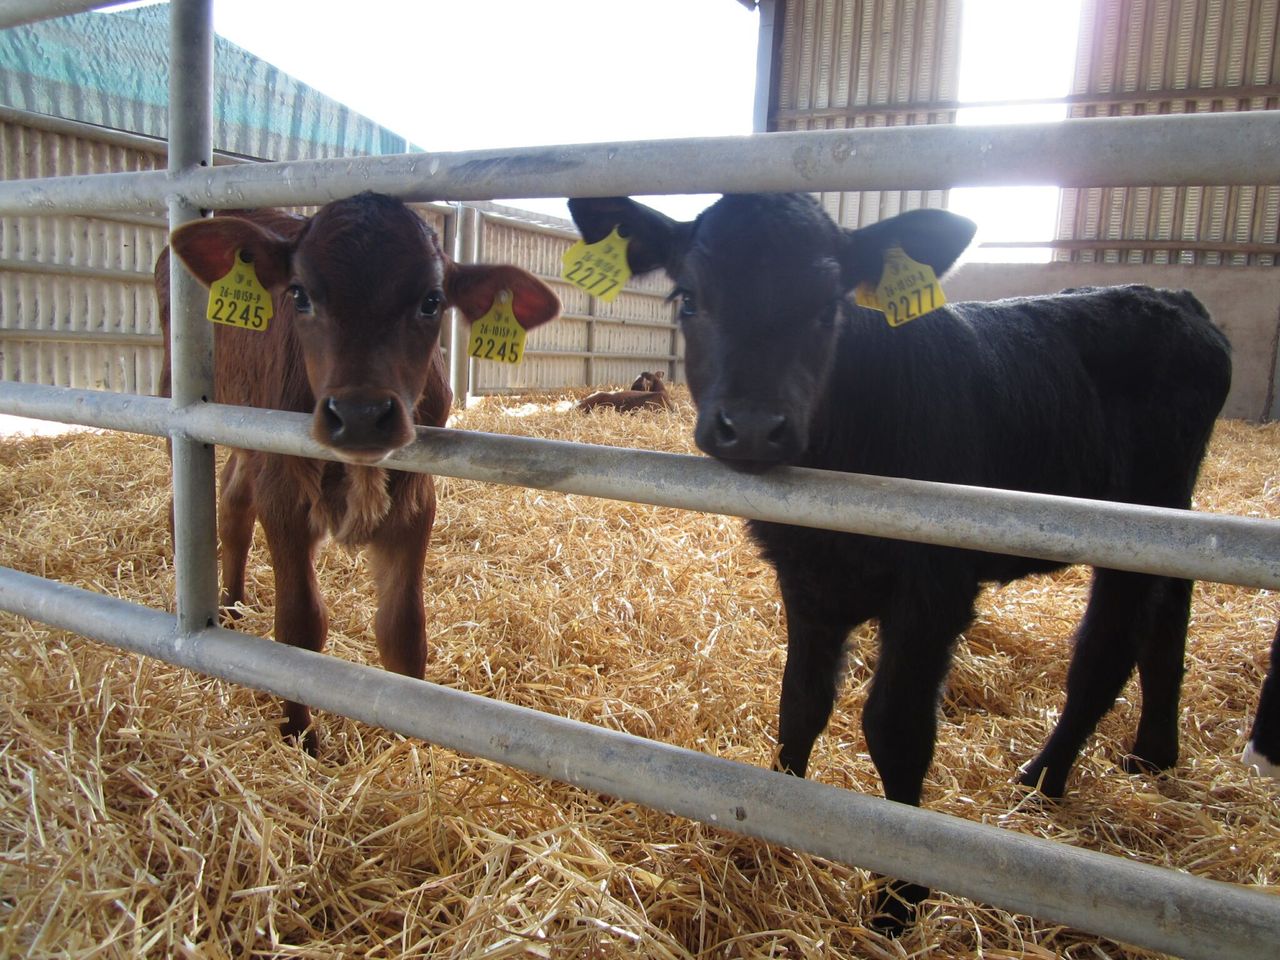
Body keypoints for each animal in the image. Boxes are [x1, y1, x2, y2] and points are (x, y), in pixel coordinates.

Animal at [157, 192, 560, 751]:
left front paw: (413, 740)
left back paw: (233, 605)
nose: (361, 414)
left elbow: (404, 631)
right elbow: (299, 627)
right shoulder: (284, 493)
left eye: (432, 300)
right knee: (188, 501)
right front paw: (301, 737)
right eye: (299, 294)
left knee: (235, 503)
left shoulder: (415, 501)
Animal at [568, 192, 1232, 928]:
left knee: (1107, 647)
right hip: (1167, 524)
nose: (753, 426)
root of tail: (1176, 297)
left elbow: (896, 729)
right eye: (689, 298)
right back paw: (1153, 753)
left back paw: (1045, 777)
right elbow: (800, 702)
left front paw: (899, 896)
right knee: (1168, 619)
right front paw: (777, 821)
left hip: (1138, 516)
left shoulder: (934, 588)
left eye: (829, 305)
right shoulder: (804, 574)